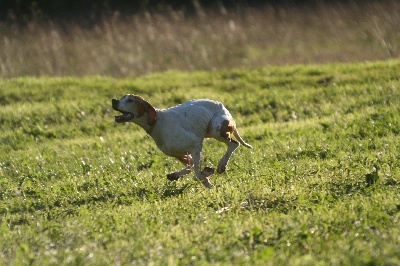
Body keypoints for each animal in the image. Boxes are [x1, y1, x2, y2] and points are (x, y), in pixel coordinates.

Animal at [111, 94, 252, 188]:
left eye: (130, 100)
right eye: (122, 97)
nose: (114, 100)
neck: (158, 122)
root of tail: (223, 106)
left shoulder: (195, 145)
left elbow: (196, 173)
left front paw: (205, 176)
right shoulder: (179, 154)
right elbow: (191, 167)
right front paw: (204, 179)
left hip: (215, 130)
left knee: (234, 144)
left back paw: (222, 165)